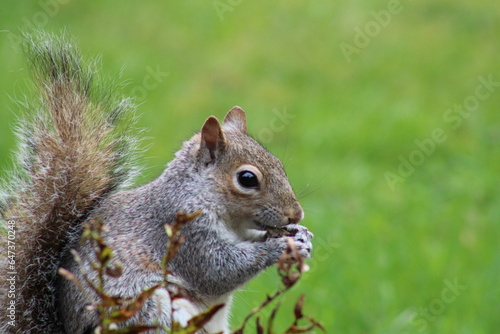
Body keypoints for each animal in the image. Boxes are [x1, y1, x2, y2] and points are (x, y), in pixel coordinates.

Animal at [0, 32, 312, 334]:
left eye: (279, 164)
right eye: (247, 179)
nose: (295, 214)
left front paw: (302, 235)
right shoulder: (183, 230)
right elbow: (217, 270)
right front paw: (281, 246)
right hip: (147, 311)